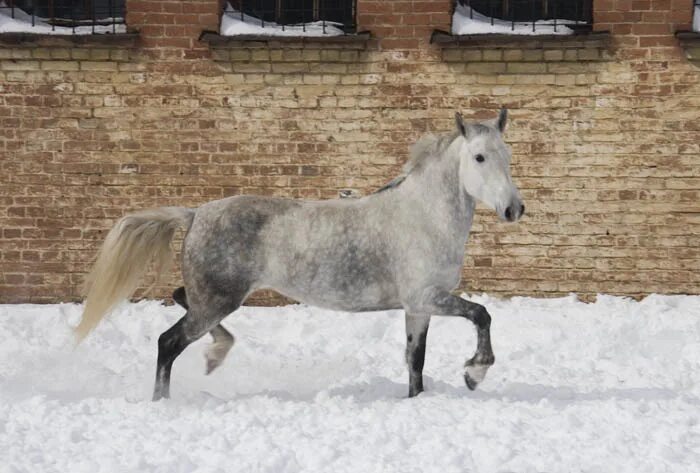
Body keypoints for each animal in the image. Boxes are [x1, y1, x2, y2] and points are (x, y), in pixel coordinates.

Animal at [78, 109, 524, 400]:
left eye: (508, 155)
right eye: (479, 157)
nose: (514, 210)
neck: (423, 217)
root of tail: (196, 213)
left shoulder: (417, 308)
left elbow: (416, 362)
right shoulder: (427, 297)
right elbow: (482, 314)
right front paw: (474, 374)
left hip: (214, 298)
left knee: (179, 299)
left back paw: (215, 355)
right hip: (217, 300)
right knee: (168, 342)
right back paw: (164, 401)